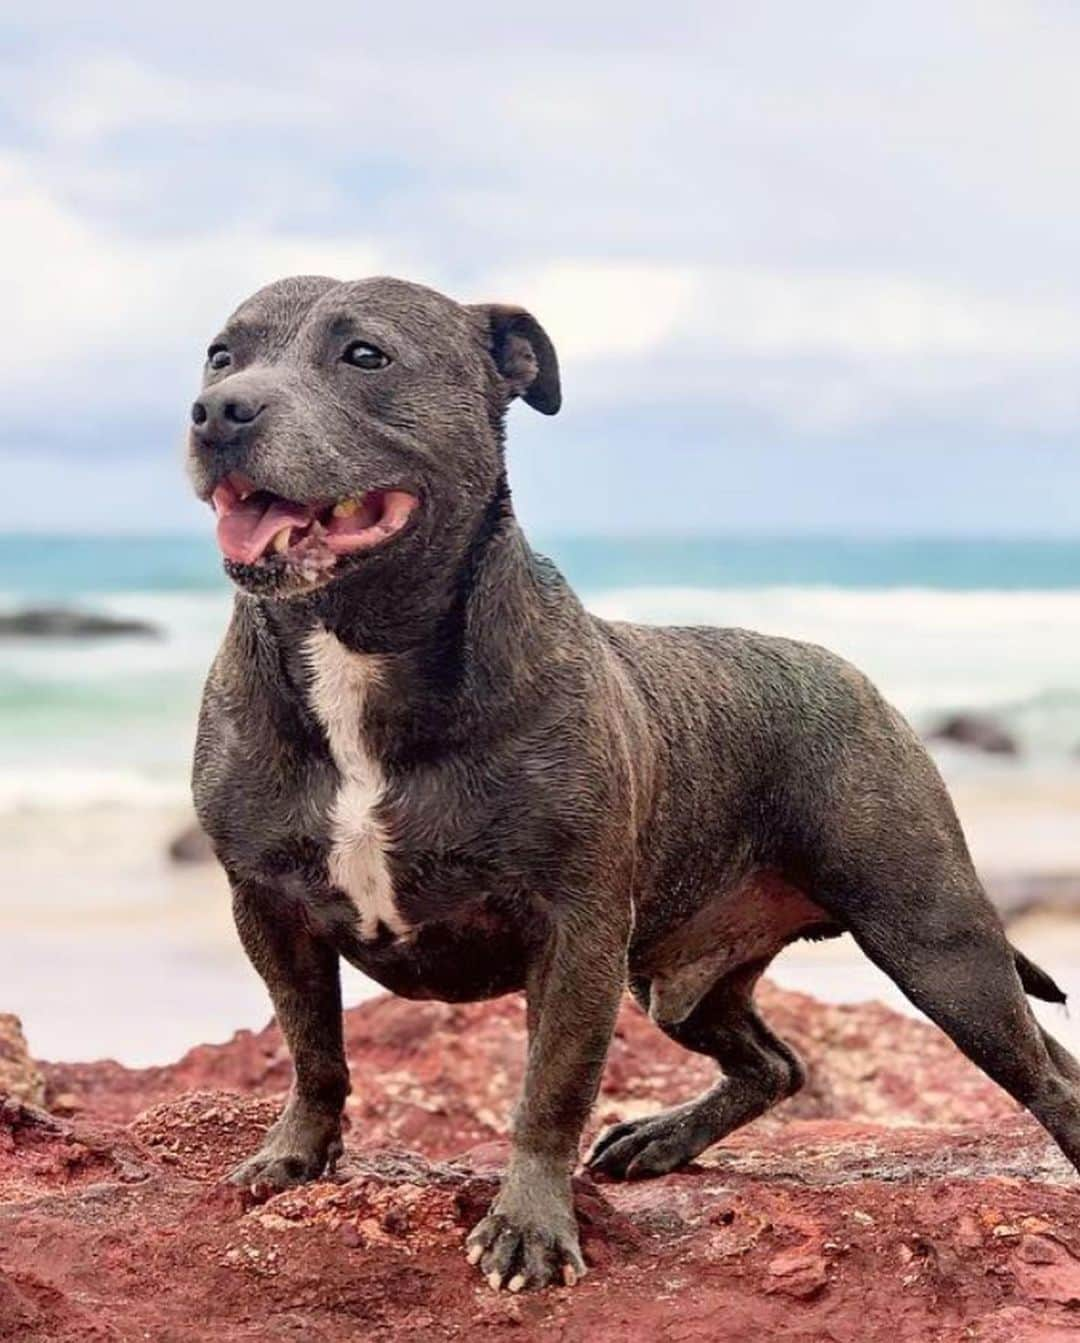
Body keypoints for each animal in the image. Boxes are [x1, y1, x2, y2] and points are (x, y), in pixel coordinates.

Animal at [189, 272, 1074, 1289]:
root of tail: (858, 676)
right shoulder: (267, 905)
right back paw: (663, 1139)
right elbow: (311, 1044)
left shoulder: (575, 932)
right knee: (777, 1062)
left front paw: (530, 1224)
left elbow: (551, 1085)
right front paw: (295, 1153)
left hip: (936, 942)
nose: (218, 410)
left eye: (365, 355)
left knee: (1039, 1071)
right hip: (683, 980)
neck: (353, 650)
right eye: (220, 355)